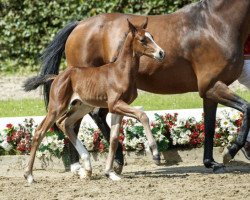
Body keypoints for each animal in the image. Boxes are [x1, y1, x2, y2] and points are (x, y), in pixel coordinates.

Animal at [23, 18, 164, 183]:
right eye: (142, 40)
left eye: (152, 36)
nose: (161, 53)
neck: (120, 72)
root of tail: (57, 76)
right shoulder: (115, 104)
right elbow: (142, 115)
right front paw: (156, 155)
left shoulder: (118, 108)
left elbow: (114, 139)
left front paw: (110, 172)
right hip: (57, 107)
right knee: (40, 131)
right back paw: (29, 175)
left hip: (83, 106)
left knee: (65, 123)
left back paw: (87, 168)